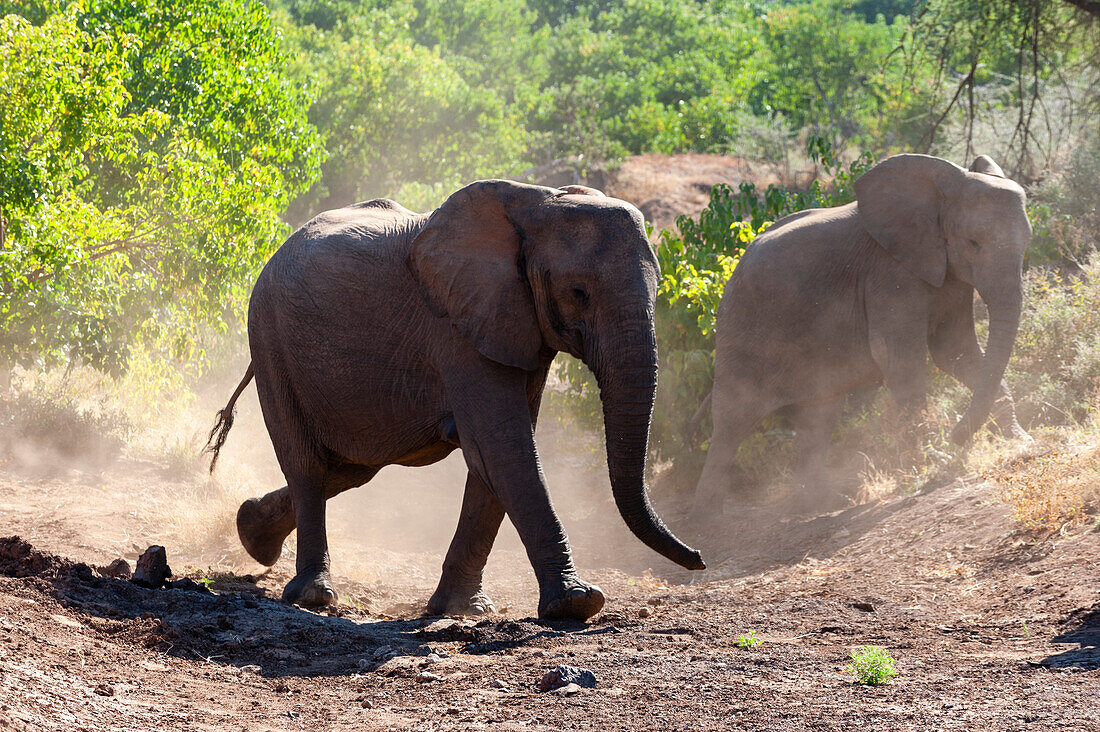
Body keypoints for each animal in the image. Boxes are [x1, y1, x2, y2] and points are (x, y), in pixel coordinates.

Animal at [206, 179, 704, 620]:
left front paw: (462, 609)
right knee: (308, 465)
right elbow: (503, 449)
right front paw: (577, 604)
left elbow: (495, 458)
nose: (699, 558)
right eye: (578, 293)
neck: (537, 205)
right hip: (268, 337)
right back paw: (312, 596)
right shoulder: (459, 329)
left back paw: (251, 532)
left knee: (350, 468)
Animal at [690, 153, 1034, 512]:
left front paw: (1023, 441)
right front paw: (937, 460)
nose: (957, 436)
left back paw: (823, 503)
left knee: (819, 414)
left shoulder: (949, 274)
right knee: (732, 420)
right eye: (973, 243)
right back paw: (708, 515)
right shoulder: (888, 273)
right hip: (740, 327)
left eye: (1028, 241)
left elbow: (955, 351)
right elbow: (899, 359)